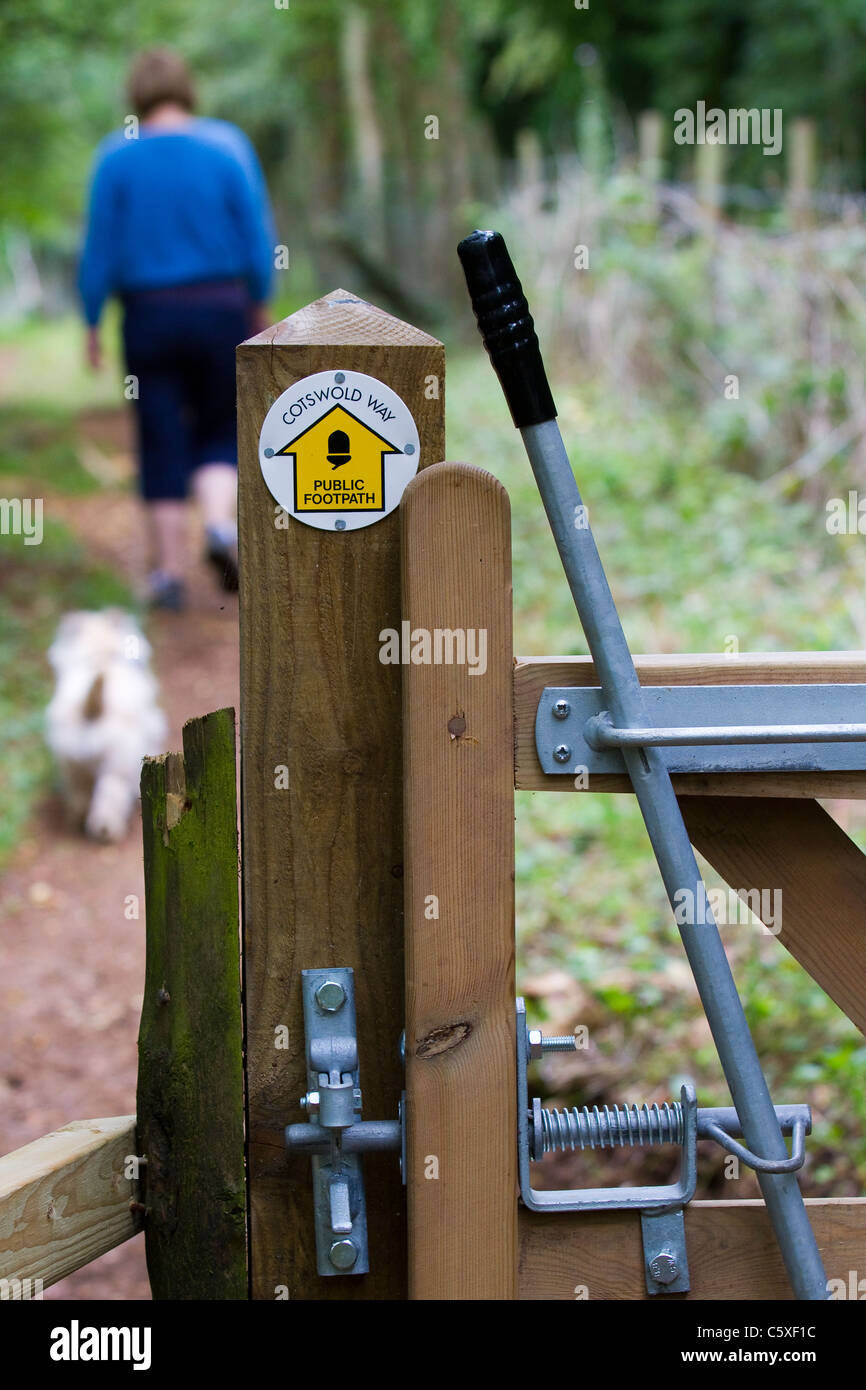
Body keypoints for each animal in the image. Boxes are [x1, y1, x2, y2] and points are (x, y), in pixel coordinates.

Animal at [46, 606, 169, 834]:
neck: (100, 654)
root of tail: (91, 707)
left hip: (71, 765)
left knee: (79, 796)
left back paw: (78, 819)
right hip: (115, 768)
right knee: (108, 801)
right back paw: (107, 830)